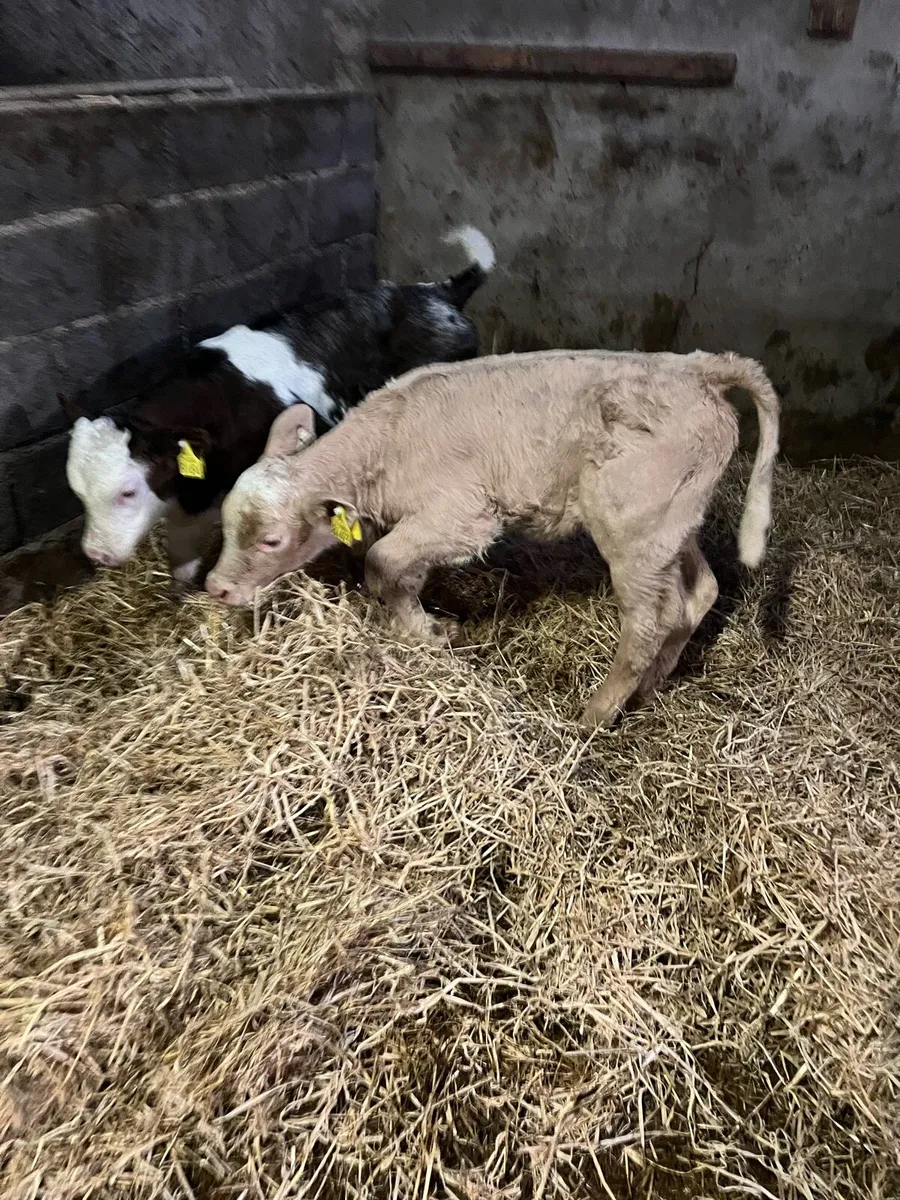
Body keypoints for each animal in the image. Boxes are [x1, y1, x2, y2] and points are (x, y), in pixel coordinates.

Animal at [205, 349, 780, 729]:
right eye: (227, 526)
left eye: (272, 540)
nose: (217, 587)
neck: (386, 444)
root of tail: (694, 367)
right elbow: (400, 571)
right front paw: (423, 623)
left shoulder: (464, 514)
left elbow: (383, 562)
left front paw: (428, 633)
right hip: (673, 524)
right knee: (698, 594)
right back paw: (652, 687)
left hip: (633, 525)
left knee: (648, 622)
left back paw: (594, 714)